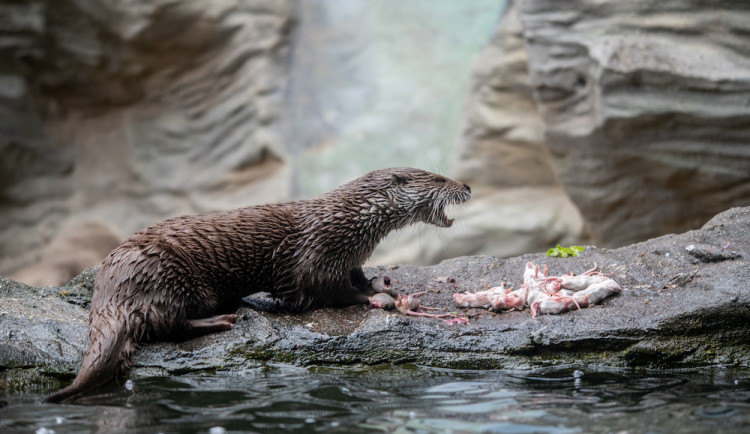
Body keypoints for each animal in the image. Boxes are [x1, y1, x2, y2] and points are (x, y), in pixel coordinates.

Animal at [45, 168, 470, 402]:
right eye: (438, 178)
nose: (465, 185)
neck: (351, 223)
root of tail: (109, 289)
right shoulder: (317, 257)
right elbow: (324, 290)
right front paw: (377, 293)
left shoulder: (347, 257)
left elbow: (354, 275)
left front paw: (382, 282)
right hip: (167, 275)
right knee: (167, 324)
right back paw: (223, 319)